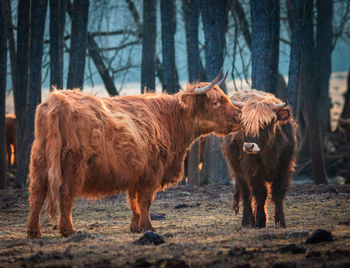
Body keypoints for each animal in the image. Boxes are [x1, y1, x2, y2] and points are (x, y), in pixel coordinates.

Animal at [27, 72, 242, 238]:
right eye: (215, 102)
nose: (239, 116)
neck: (169, 122)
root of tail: (56, 100)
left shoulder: (136, 173)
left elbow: (133, 202)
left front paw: (135, 227)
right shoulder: (151, 173)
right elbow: (145, 201)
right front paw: (148, 227)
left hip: (40, 162)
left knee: (37, 194)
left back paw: (33, 231)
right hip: (74, 165)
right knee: (66, 194)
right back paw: (68, 230)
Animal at [223, 90, 296, 228]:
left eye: (265, 123)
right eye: (244, 124)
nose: (248, 146)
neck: (269, 153)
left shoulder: (285, 168)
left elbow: (278, 194)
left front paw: (281, 221)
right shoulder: (253, 171)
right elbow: (260, 194)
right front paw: (260, 221)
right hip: (238, 171)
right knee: (246, 194)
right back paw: (247, 221)